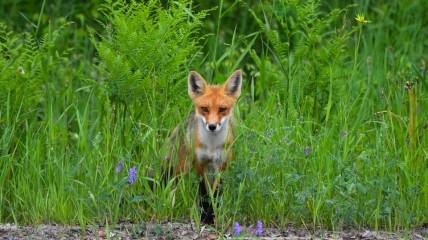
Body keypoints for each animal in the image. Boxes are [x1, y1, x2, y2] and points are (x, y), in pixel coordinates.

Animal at [165, 69, 242, 223]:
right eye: (204, 109)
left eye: (222, 109)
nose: (212, 126)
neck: (211, 145)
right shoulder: (201, 163)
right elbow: (204, 193)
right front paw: (204, 217)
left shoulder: (221, 165)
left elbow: (216, 193)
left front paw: (211, 217)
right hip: (182, 167)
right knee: (173, 184)